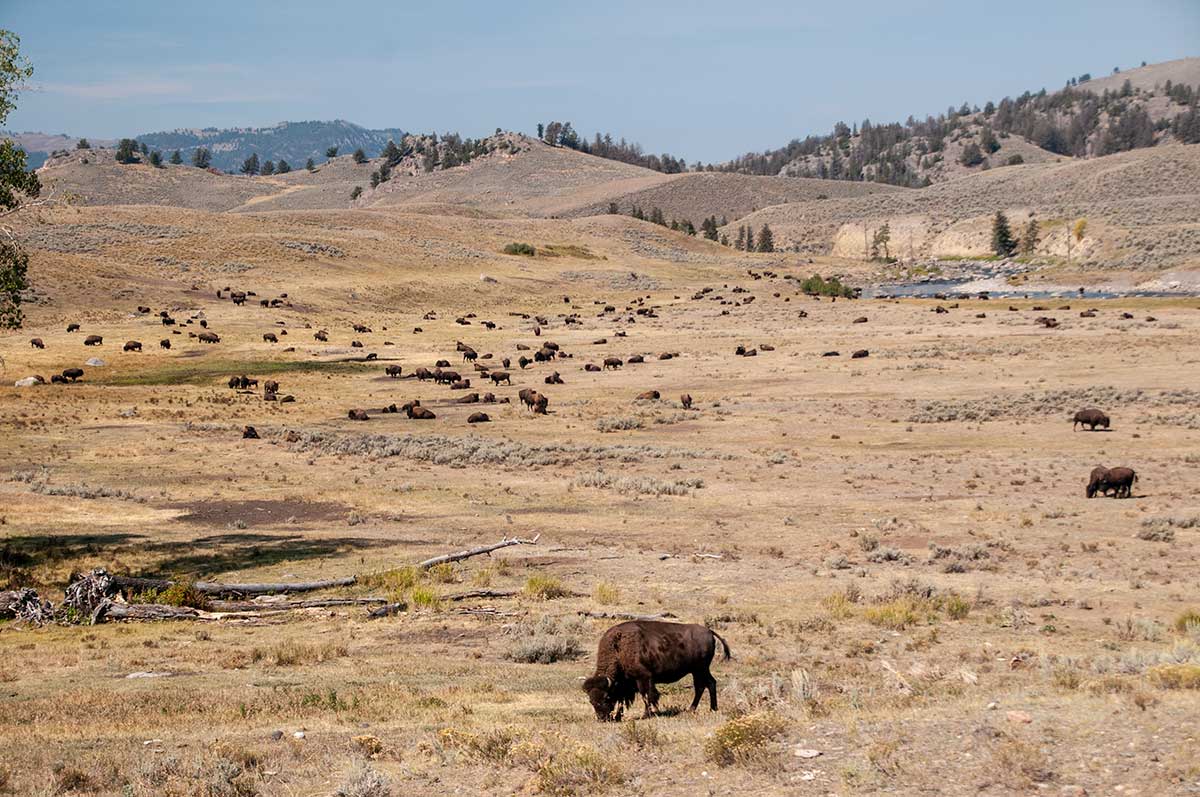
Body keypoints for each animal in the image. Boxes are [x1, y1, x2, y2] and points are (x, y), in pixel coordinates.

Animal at [582, 621, 730, 721]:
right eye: (590, 700)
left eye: (606, 697)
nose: (602, 718)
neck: (618, 648)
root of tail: (709, 631)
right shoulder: (624, 683)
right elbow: (622, 700)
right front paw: (618, 717)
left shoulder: (643, 678)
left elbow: (647, 696)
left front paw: (646, 715)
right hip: (698, 671)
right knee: (706, 684)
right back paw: (702, 709)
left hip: (700, 669)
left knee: (705, 685)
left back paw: (704, 709)